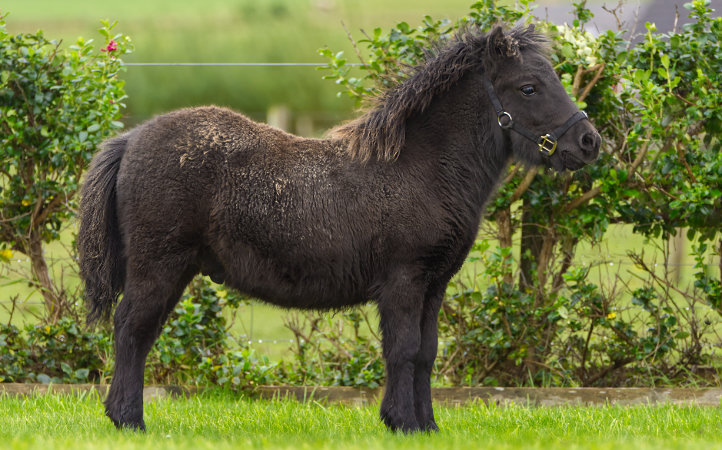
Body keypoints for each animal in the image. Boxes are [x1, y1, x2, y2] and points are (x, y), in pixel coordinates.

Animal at [77, 24, 596, 432]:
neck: (422, 168)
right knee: (131, 329)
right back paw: (129, 420)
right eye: (529, 87)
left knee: (140, 333)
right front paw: (402, 423)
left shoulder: (433, 287)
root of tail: (131, 138)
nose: (589, 142)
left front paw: (426, 425)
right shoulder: (404, 282)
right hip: (159, 266)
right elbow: (403, 350)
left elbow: (426, 353)